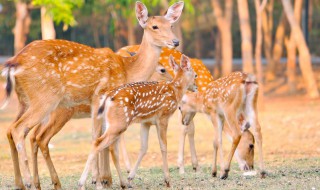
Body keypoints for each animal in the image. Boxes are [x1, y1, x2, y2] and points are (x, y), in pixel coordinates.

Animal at [0, 1, 185, 189]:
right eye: (154, 26)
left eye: (170, 25)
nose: (175, 41)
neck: (127, 70)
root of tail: (13, 63)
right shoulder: (100, 96)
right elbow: (101, 139)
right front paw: (102, 180)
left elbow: (101, 138)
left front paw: (104, 179)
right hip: (45, 98)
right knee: (20, 130)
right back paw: (30, 181)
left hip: (25, 101)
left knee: (13, 131)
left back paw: (26, 183)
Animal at [78, 54, 198, 189]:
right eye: (195, 75)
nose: (196, 87)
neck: (175, 91)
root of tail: (107, 98)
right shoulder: (163, 117)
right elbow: (163, 147)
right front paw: (167, 180)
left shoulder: (146, 122)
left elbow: (144, 147)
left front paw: (130, 178)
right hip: (119, 123)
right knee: (99, 143)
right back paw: (81, 183)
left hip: (110, 123)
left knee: (109, 148)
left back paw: (122, 183)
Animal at [117, 45, 255, 175]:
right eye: (251, 145)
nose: (250, 167)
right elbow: (184, 129)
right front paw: (181, 167)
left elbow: (191, 129)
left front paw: (196, 166)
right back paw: (128, 168)